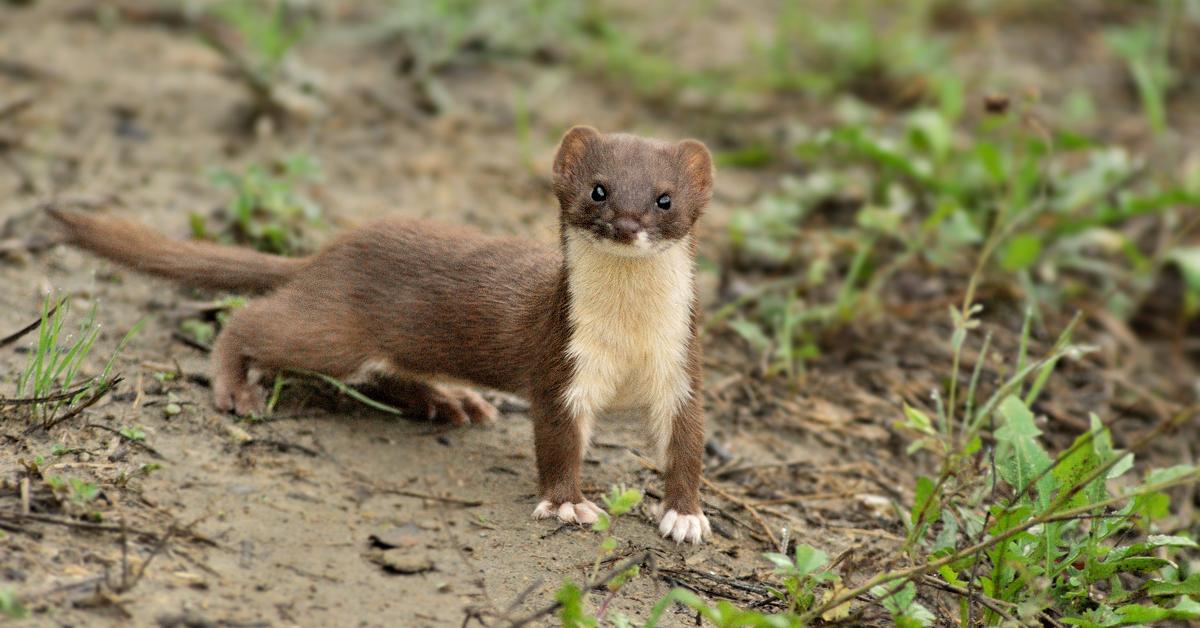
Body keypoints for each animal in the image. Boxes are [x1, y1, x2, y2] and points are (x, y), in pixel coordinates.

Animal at [49, 125, 710, 542]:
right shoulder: (561, 363)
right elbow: (556, 440)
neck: (629, 337)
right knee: (250, 320)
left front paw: (685, 517)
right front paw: (568, 503)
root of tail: (328, 252)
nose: (625, 225)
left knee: (387, 375)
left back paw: (451, 401)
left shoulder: (683, 368)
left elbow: (687, 445)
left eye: (664, 199)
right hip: (331, 332)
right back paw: (236, 388)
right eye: (598, 189)